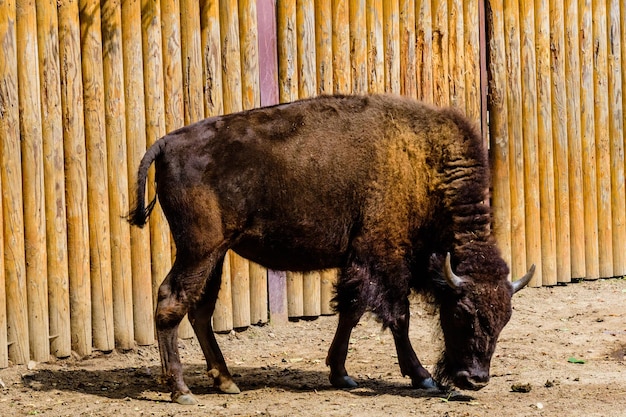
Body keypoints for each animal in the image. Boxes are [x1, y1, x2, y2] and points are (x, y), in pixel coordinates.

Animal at [127, 93, 532, 404]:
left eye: (505, 319)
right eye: (462, 313)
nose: (475, 378)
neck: (424, 165)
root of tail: (167, 143)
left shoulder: (357, 263)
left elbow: (350, 312)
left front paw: (341, 374)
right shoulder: (384, 258)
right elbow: (397, 317)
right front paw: (422, 377)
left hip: (216, 254)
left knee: (200, 310)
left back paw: (226, 381)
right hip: (199, 249)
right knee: (171, 301)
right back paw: (181, 391)